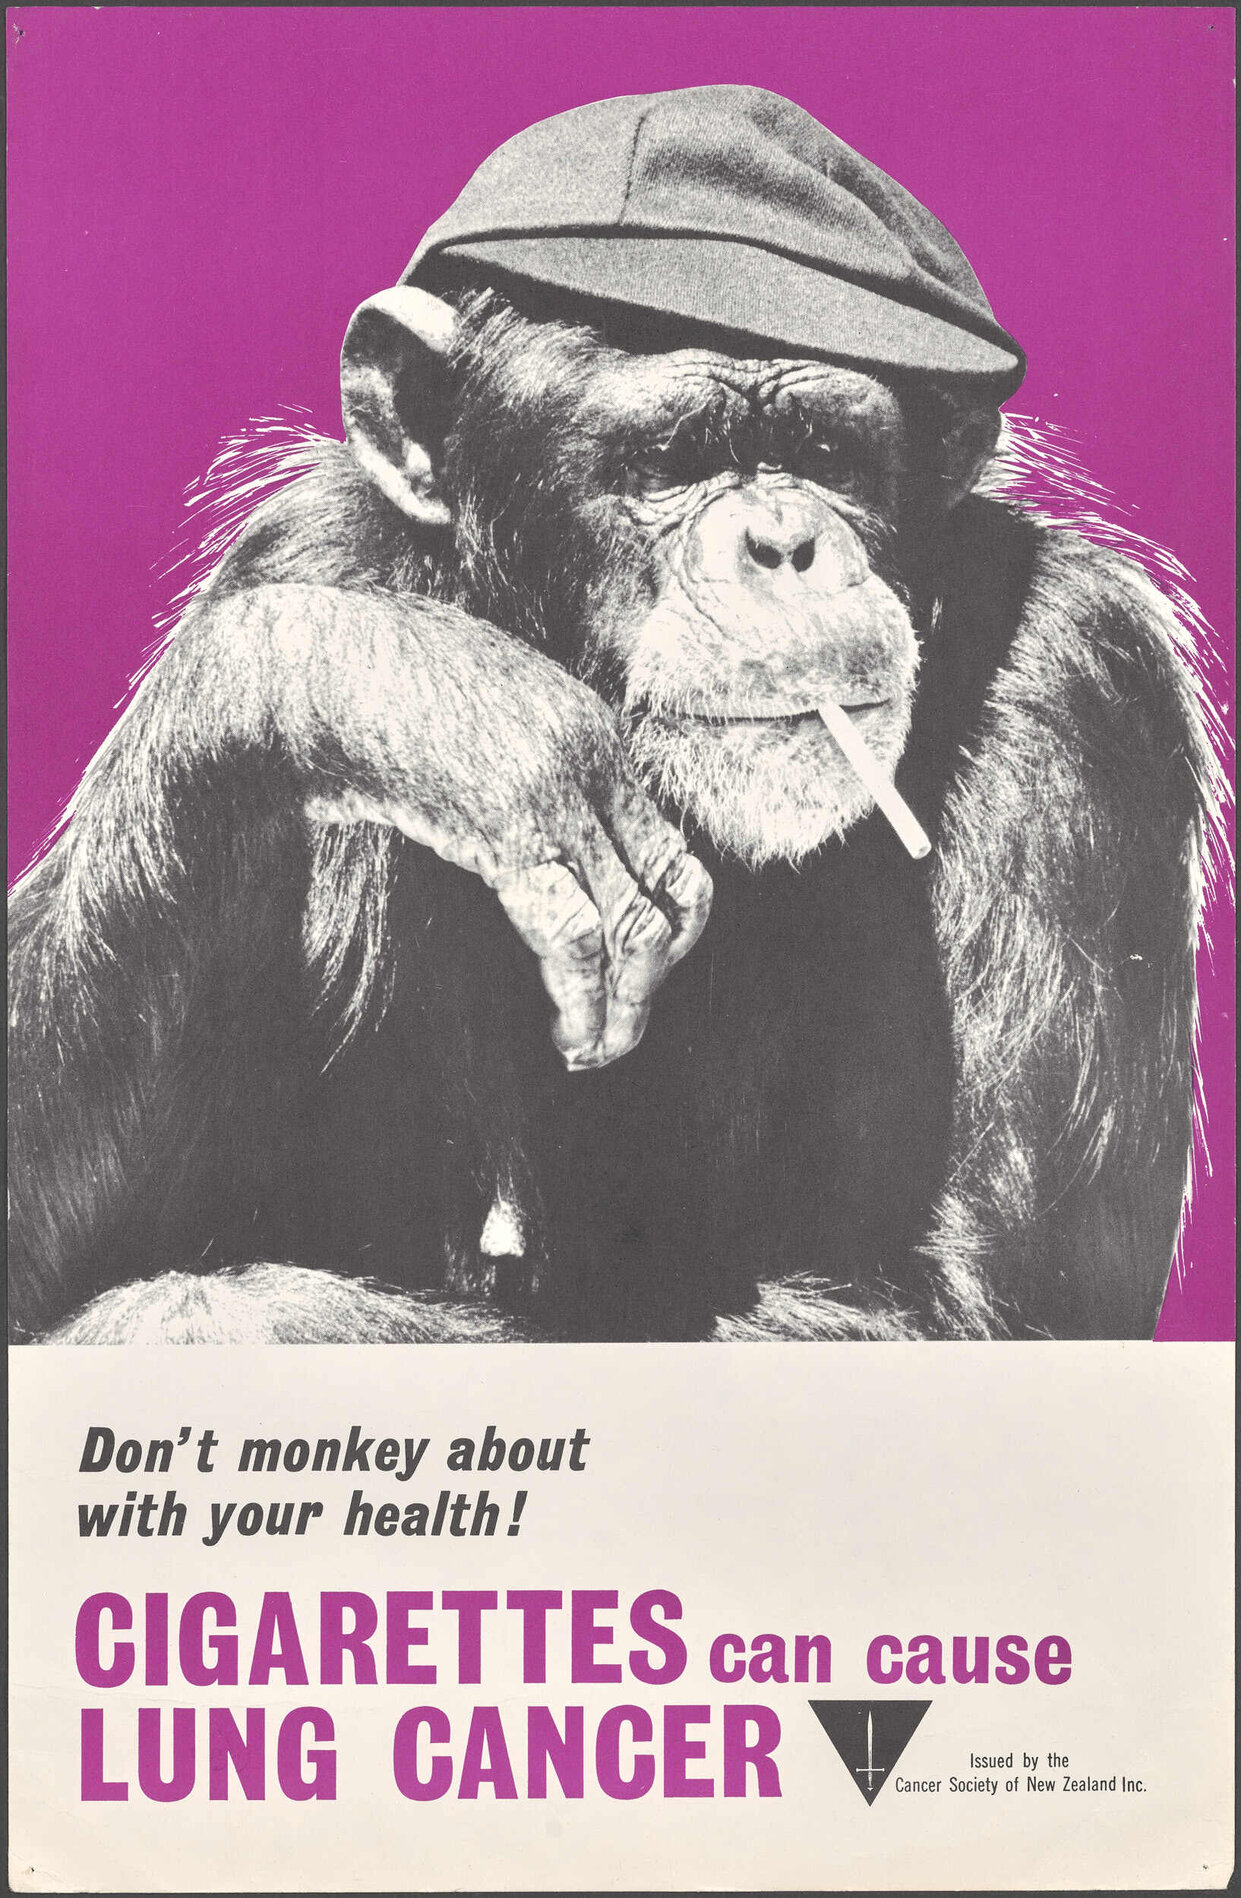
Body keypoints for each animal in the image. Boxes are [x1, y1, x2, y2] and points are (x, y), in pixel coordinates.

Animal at [7, 87, 1219, 1345]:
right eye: (674, 457)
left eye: (823, 453)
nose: (783, 545)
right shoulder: (298, 553)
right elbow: (50, 1235)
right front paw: (438, 701)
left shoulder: (1082, 682)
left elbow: (983, 1310)